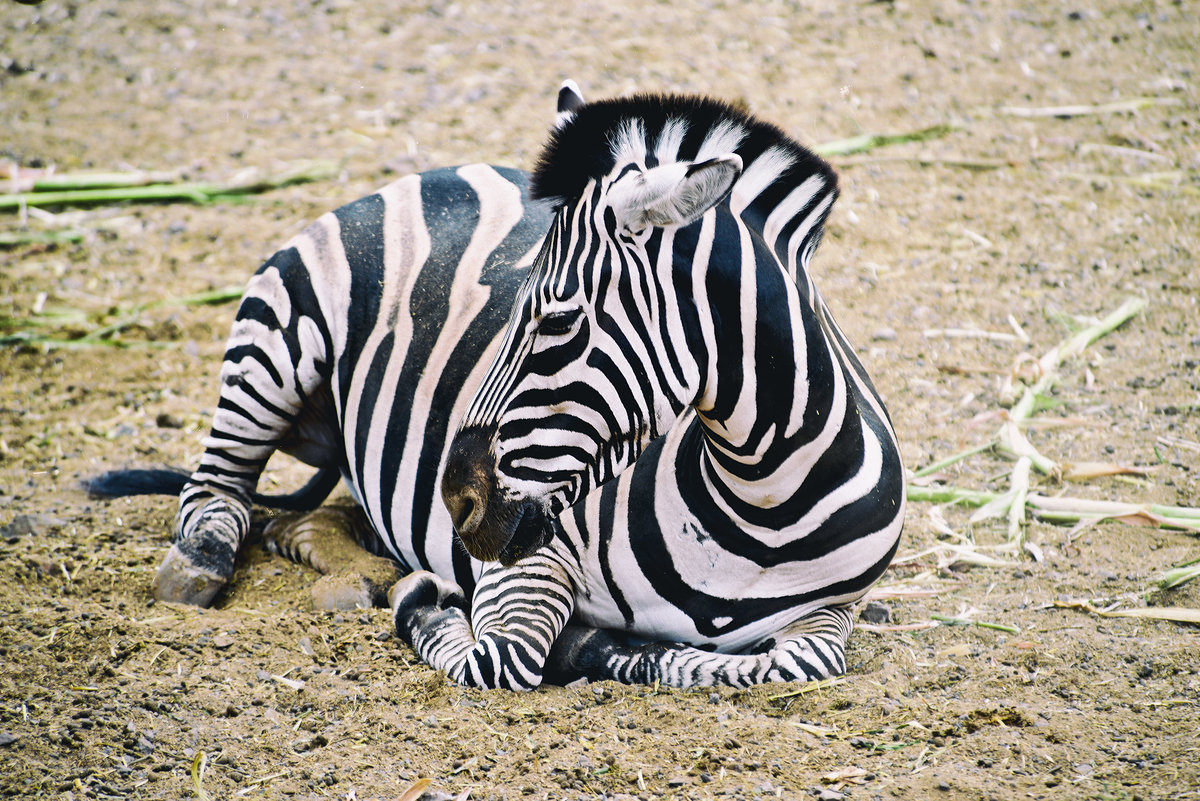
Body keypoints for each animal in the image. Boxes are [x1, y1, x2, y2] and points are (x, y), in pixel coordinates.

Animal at [88, 84, 902, 690]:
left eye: (558, 320)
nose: (455, 503)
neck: (759, 505)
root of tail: (437, 169)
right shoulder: (525, 563)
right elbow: (503, 657)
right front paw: (436, 606)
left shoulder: (834, 611)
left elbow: (793, 663)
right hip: (277, 337)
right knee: (217, 483)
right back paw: (207, 560)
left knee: (306, 522)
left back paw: (357, 574)